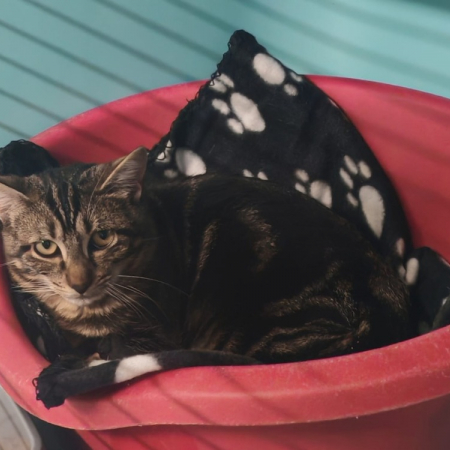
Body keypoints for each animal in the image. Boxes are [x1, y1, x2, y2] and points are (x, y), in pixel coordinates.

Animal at [0, 147, 412, 408]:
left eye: (102, 238)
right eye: (46, 247)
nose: (80, 282)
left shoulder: (153, 334)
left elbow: (109, 353)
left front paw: (69, 366)